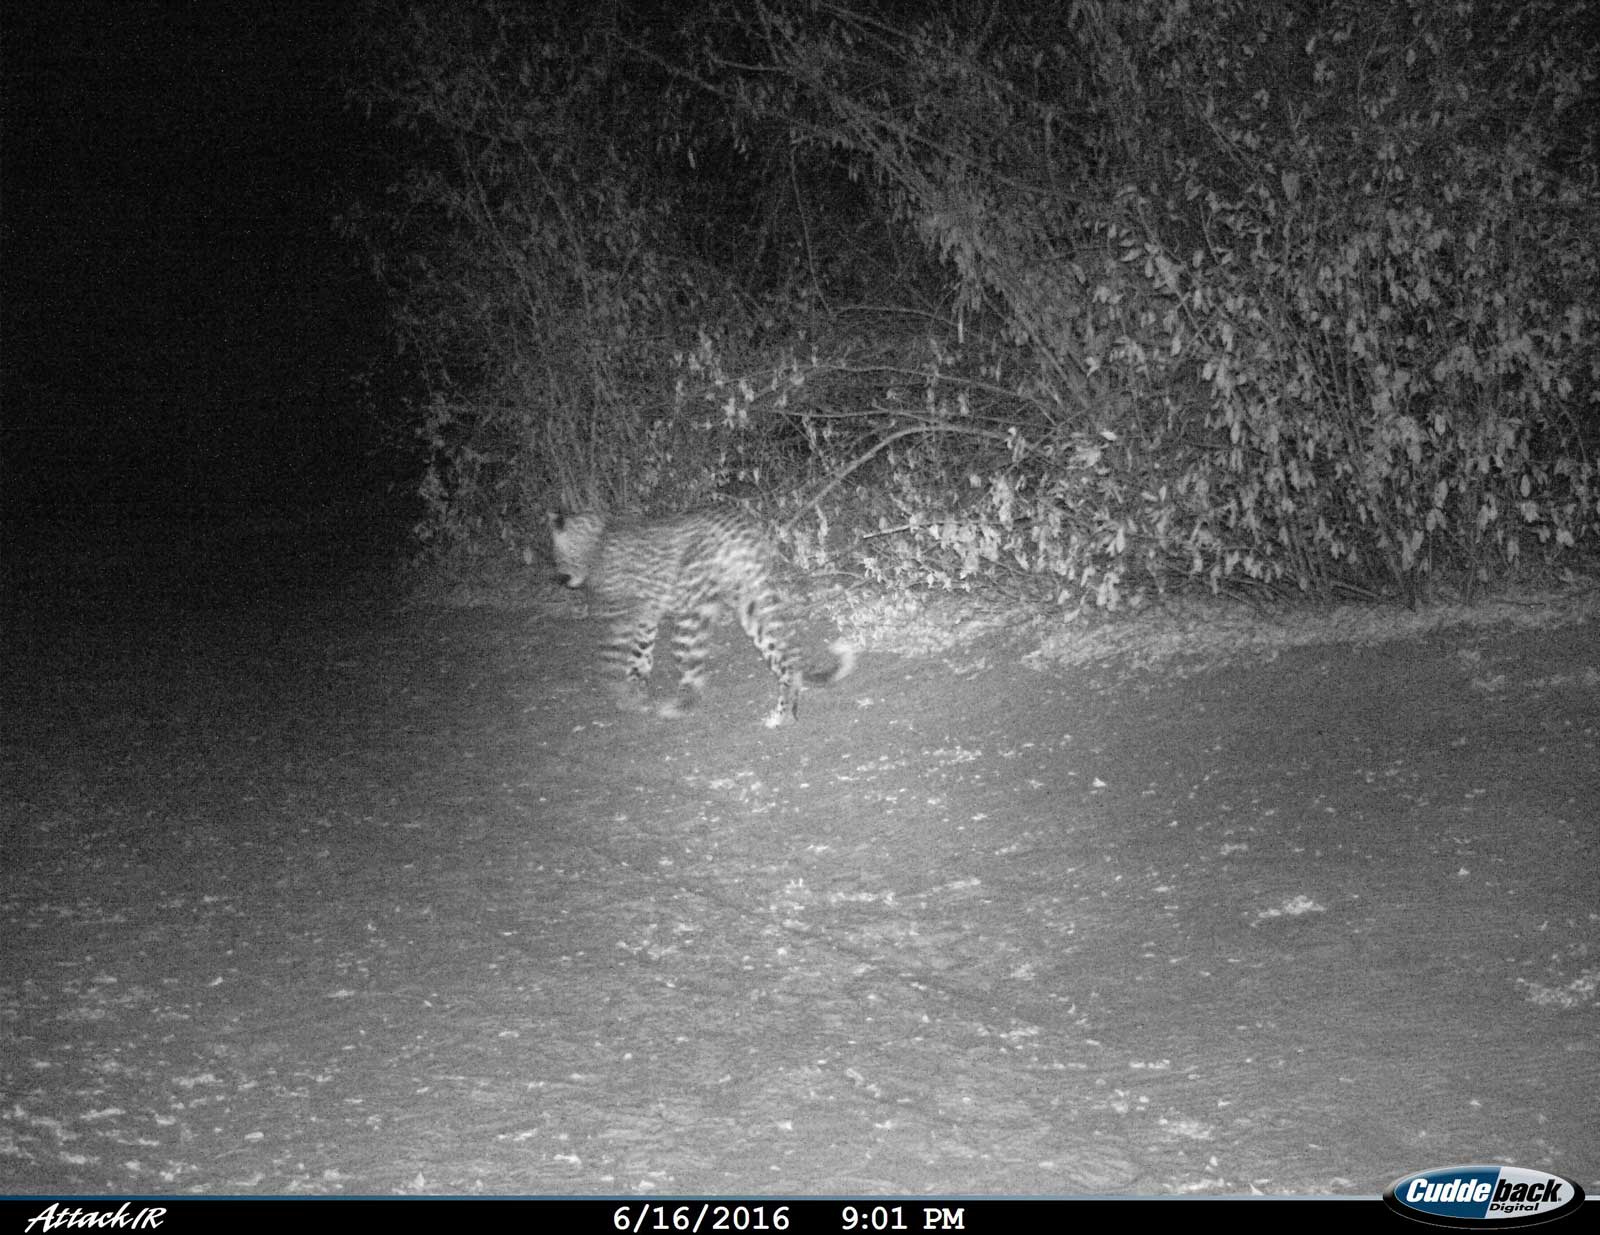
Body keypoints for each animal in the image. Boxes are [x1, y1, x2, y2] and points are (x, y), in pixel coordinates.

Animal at [546, 507, 855, 727]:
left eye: (556, 553)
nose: (562, 577)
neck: (595, 541)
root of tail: (738, 526)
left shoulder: (624, 616)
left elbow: (613, 656)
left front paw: (622, 694)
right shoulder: (645, 617)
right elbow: (639, 656)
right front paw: (636, 689)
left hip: (692, 609)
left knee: (692, 669)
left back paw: (680, 706)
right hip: (751, 602)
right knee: (785, 655)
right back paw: (784, 714)